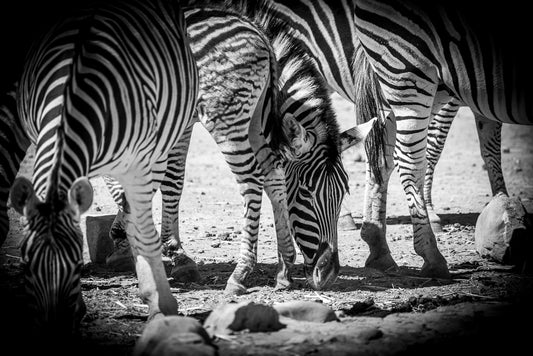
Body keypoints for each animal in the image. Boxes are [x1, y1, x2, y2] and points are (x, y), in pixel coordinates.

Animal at [7, 0, 198, 336]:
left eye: (75, 262)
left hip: (173, 133)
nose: (54, 331)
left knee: (153, 201)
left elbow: (144, 234)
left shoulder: (139, 165)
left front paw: (161, 307)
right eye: (26, 263)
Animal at [102, 5, 364, 294]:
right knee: (268, 177)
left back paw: (246, 273)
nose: (329, 274)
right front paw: (137, 243)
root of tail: (261, 40)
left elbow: (168, 181)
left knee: (256, 181)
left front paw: (164, 250)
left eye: (344, 192)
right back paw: (278, 270)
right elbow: (158, 181)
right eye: (306, 193)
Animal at [354, 0, 532, 276]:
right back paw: (432, 256)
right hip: (410, 71)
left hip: (425, 83)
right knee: (409, 160)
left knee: (382, 158)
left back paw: (379, 251)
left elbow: (490, 148)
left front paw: (503, 208)